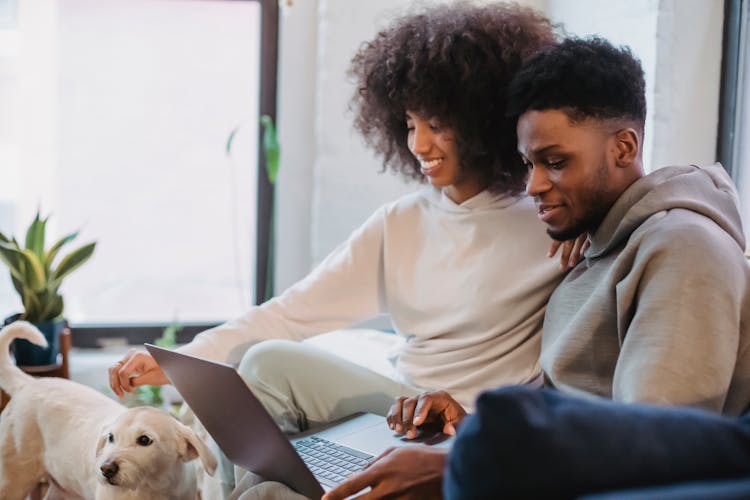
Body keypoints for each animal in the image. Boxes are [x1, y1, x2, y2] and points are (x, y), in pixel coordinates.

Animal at [0, 322, 217, 498]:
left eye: (144, 440)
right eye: (111, 438)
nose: (106, 469)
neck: (151, 488)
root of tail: (28, 383)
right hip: (12, 481)